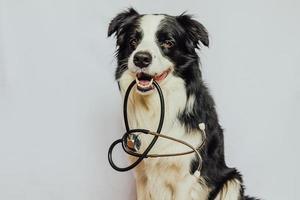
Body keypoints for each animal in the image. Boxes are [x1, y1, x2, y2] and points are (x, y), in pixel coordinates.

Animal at [108, 7, 258, 200]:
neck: (156, 105)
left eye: (168, 43)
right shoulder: (141, 174)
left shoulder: (186, 178)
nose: (141, 58)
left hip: (232, 180)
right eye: (133, 41)